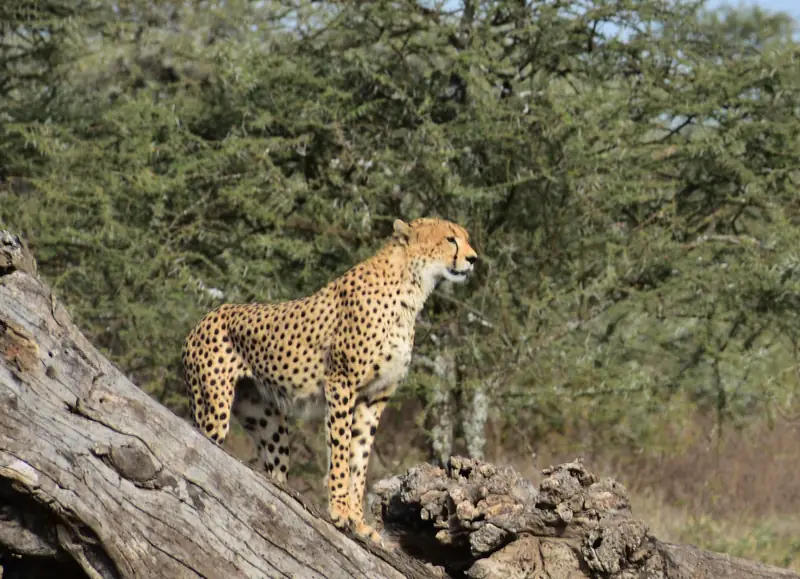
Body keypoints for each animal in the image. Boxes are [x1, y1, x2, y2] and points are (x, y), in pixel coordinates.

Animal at [181, 217, 478, 543]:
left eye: (465, 238)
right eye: (450, 239)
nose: (473, 259)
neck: (411, 288)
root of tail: (201, 320)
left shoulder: (374, 398)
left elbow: (359, 458)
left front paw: (359, 522)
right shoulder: (341, 383)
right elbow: (340, 449)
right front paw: (339, 511)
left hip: (266, 420)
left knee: (275, 471)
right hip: (214, 409)